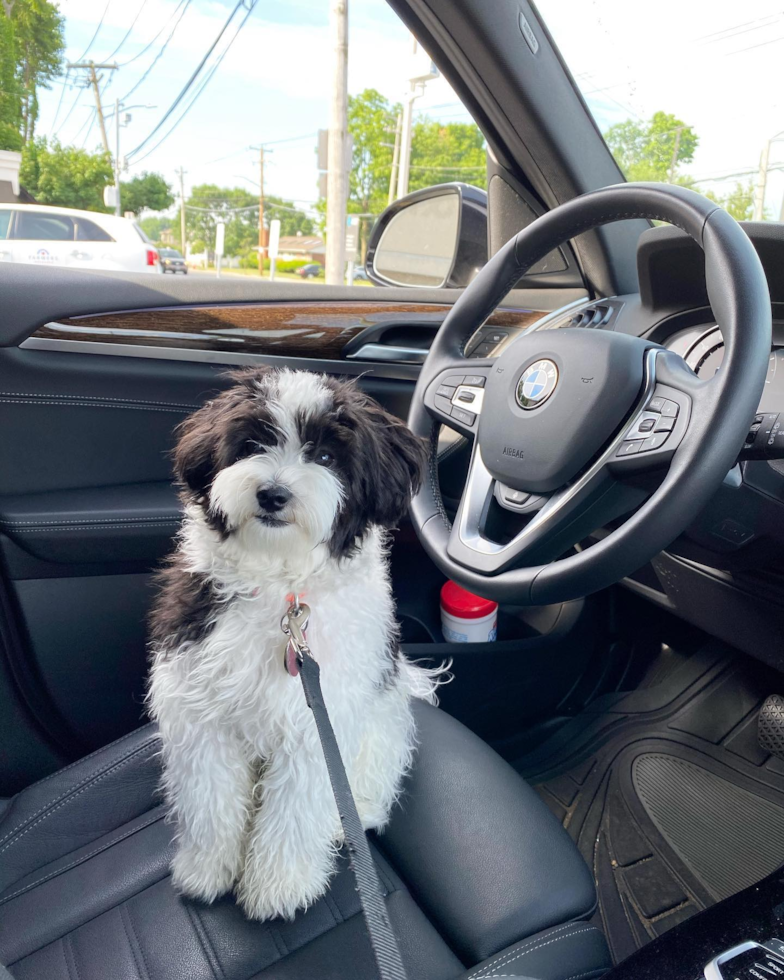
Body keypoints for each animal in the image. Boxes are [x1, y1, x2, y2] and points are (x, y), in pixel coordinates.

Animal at [147, 366, 440, 920]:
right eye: (252, 444)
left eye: (325, 457)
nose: (272, 495)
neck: (280, 586)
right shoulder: (199, 712)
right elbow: (208, 797)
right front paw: (208, 868)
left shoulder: (316, 725)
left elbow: (297, 808)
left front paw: (279, 885)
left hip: (381, 723)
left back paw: (354, 817)